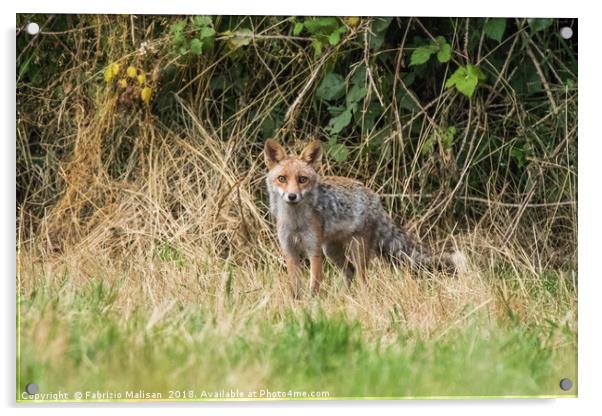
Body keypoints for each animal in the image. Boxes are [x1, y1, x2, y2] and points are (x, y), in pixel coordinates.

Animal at [262, 140, 464, 300]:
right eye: (282, 179)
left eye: (302, 179)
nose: (292, 196)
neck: (295, 222)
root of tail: (374, 196)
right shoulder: (290, 251)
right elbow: (295, 288)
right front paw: (297, 305)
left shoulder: (314, 251)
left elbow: (315, 285)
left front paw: (312, 305)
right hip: (332, 251)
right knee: (349, 272)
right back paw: (343, 300)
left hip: (356, 250)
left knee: (362, 280)